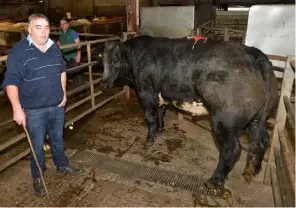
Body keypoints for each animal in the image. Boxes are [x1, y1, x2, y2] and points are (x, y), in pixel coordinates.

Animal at [101, 35, 278, 188]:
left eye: (115, 61)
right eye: (101, 60)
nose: (104, 82)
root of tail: (254, 54)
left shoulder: (145, 92)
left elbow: (150, 117)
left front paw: (149, 139)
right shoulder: (161, 93)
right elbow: (160, 112)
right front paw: (160, 129)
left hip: (224, 122)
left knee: (231, 150)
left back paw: (214, 180)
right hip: (255, 119)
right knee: (262, 141)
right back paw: (254, 169)